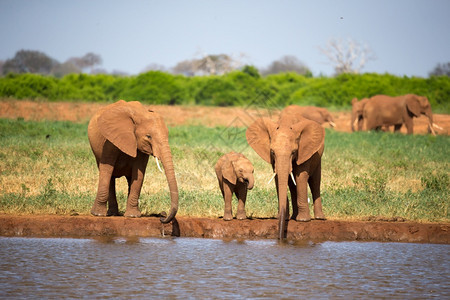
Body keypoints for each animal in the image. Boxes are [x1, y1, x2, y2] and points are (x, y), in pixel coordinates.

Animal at [248, 108, 326, 239]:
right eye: (272, 152)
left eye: (294, 152)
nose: (280, 237)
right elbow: (278, 177)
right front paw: (283, 218)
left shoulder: (304, 150)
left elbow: (301, 177)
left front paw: (303, 220)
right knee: (292, 185)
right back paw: (294, 217)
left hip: (317, 156)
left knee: (315, 182)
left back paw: (319, 218)